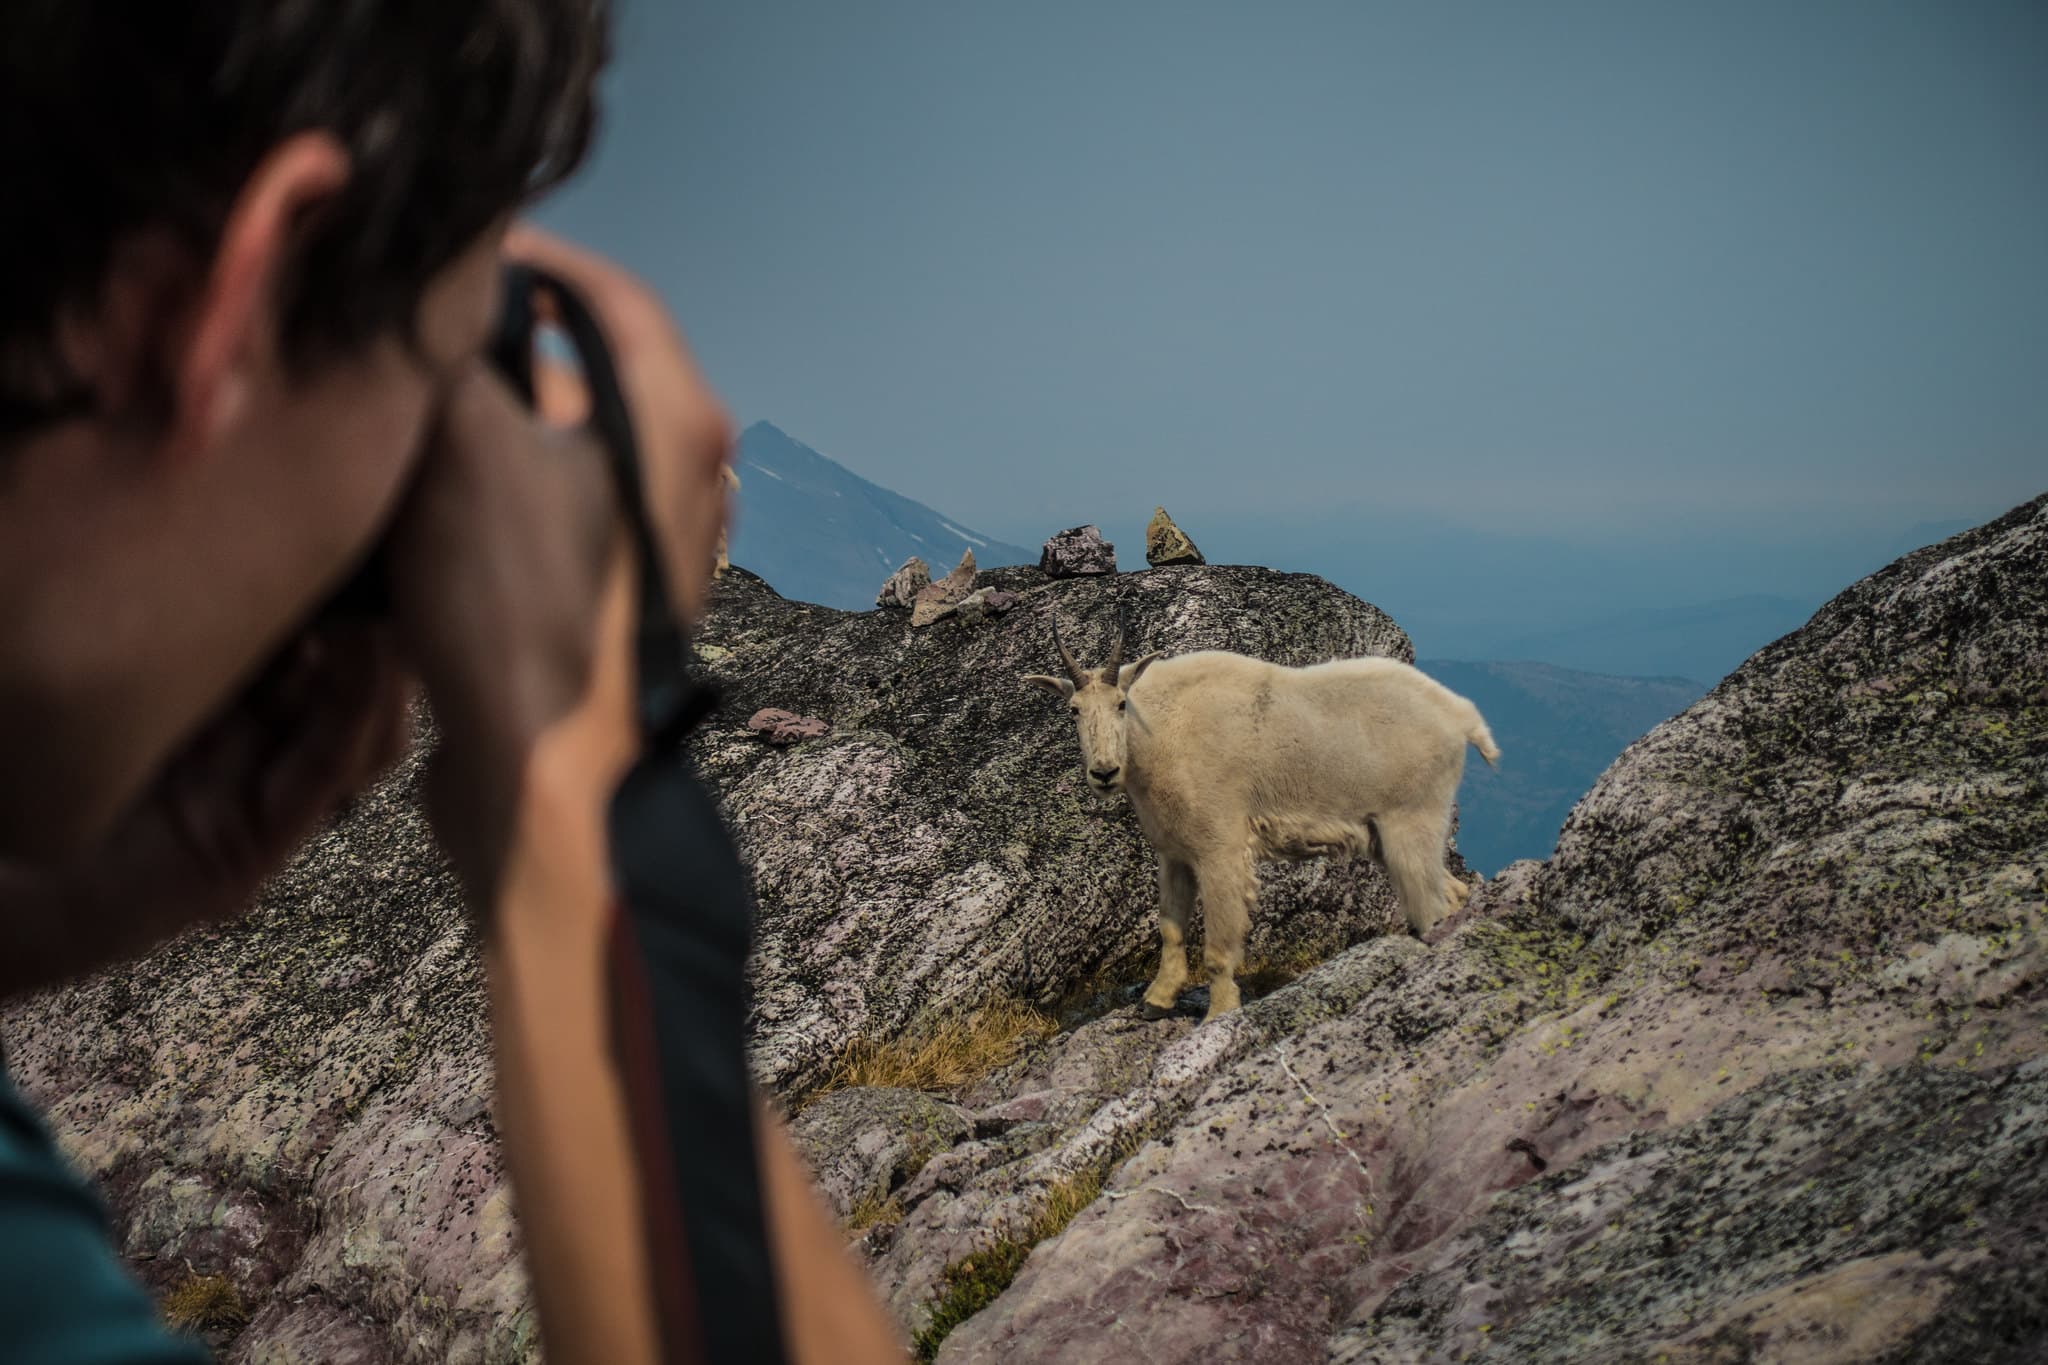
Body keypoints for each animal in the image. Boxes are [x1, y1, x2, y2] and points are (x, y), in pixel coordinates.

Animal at [1023, 612, 1499, 1021]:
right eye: (1073, 710)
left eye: (1121, 704)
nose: (1104, 772)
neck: (1159, 732)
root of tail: (1461, 715)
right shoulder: (1174, 853)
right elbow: (1171, 928)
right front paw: (1156, 1000)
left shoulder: (1219, 848)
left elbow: (1218, 945)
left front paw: (1219, 1012)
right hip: (1389, 834)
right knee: (1450, 891)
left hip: (1412, 819)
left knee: (1431, 900)